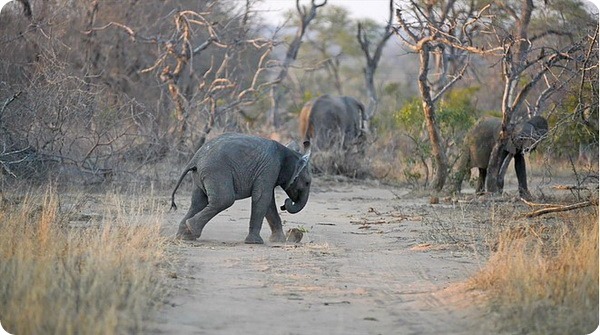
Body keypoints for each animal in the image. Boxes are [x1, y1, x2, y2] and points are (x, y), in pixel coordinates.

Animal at [169, 133, 310, 245]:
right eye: (308, 183)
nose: (284, 205)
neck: (288, 152)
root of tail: (195, 158)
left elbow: (268, 202)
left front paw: (279, 241)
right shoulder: (270, 168)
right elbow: (262, 198)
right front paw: (255, 243)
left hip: (201, 175)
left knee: (197, 203)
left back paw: (184, 236)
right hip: (216, 171)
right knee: (224, 200)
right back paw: (191, 230)